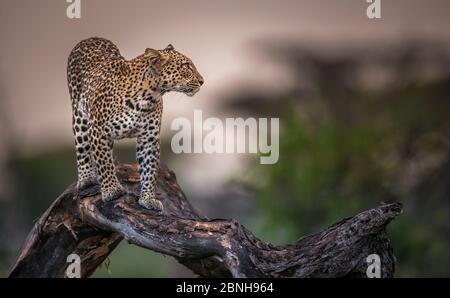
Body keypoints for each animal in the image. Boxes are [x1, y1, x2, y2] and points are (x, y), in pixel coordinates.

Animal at [67, 36, 204, 210]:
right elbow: (104, 162)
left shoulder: (149, 138)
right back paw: (86, 178)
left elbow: (149, 169)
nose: (202, 81)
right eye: (187, 67)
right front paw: (111, 190)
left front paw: (148, 199)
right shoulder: (98, 131)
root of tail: (91, 38)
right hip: (79, 116)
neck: (148, 95)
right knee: (82, 147)